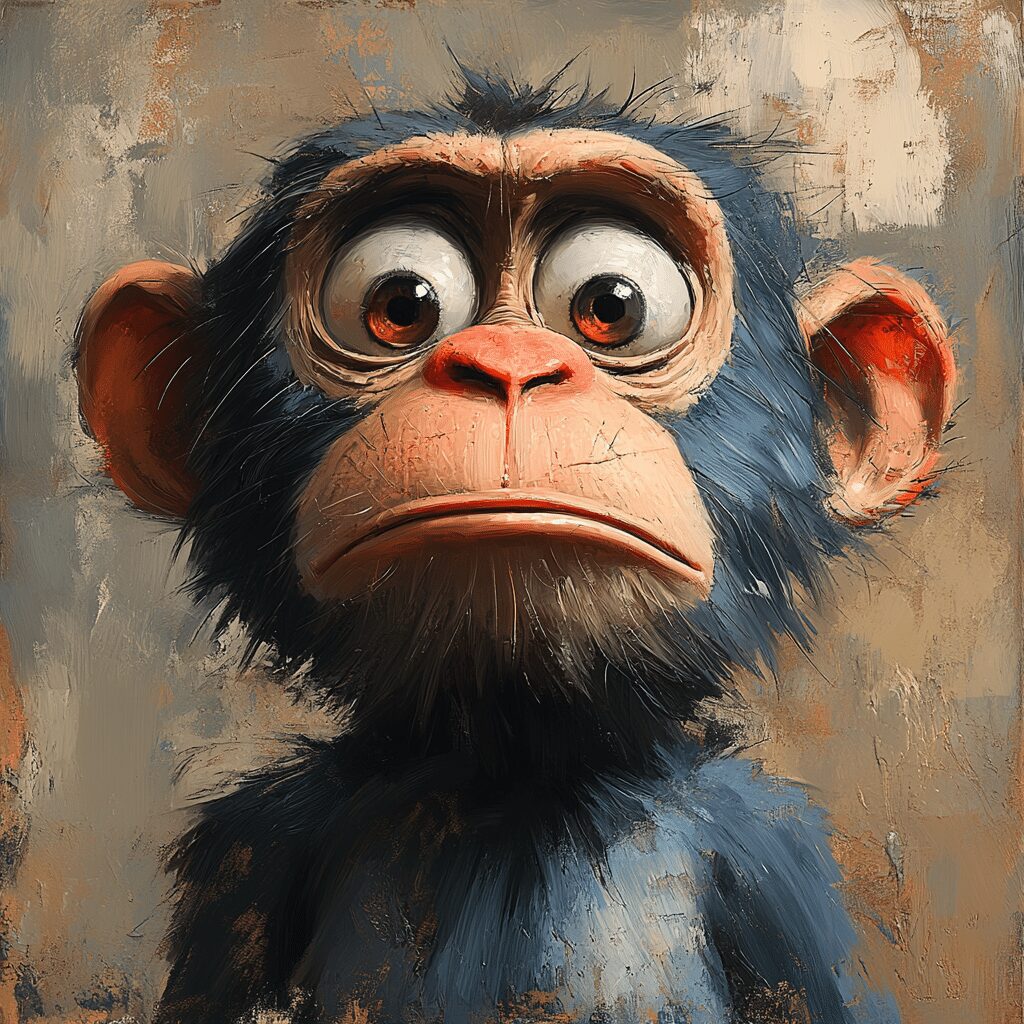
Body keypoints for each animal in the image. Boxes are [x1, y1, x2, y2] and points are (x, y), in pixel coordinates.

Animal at [74, 68, 955, 1024]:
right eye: (400, 306)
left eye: (612, 306)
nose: (504, 363)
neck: (513, 765)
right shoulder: (248, 851)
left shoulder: (771, 861)